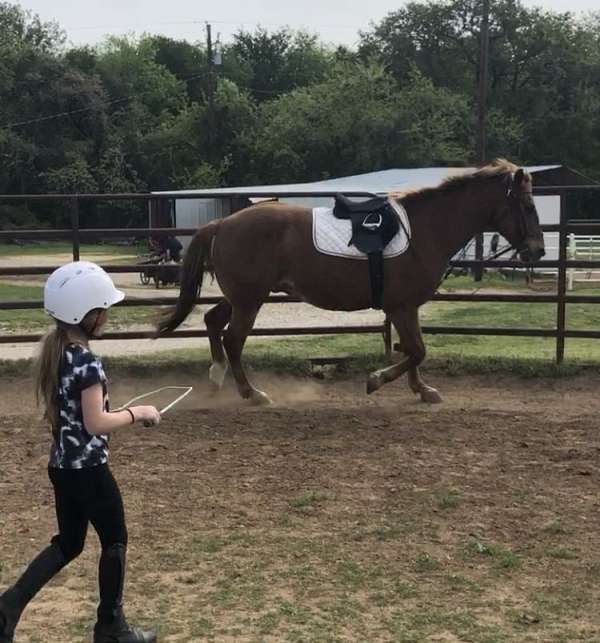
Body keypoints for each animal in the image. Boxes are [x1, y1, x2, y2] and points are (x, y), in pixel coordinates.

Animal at [155, 159, 544, 406]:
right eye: (527, 206)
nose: (537, 251)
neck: (425, 229)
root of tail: (222, 224)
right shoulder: (400, 307)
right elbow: (417, 350)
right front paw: (376, 380)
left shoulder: (407, 307)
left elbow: (415, 351)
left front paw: (422, 390)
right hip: (250, 300)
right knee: (233, 339)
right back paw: (252, 394)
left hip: (242, 296)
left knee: (212, 321)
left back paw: (216, 377)